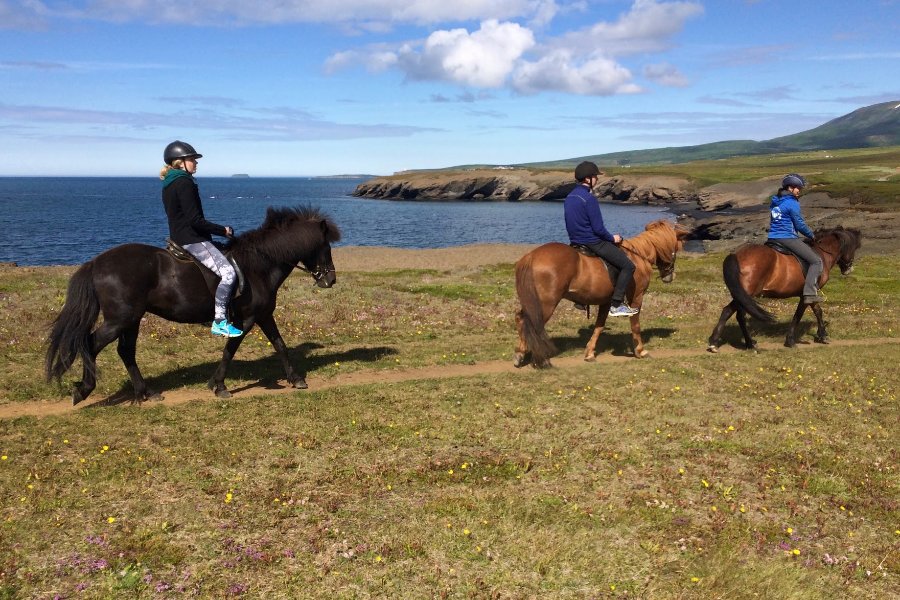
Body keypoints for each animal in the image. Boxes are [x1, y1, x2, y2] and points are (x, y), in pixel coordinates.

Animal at [43, 204, 338, 406]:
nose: (330, 279)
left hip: (132, 319)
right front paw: (218, 385)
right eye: (325, 247)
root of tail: (96, 263)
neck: (259, 265)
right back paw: (84, 389)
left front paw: (296, 378)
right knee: (91, 344)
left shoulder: (264, 315)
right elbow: (230, 349)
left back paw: (145, 393)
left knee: (125, 352)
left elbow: (280, 344)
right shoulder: (246, 318)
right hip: (120, 319)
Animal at [512, 218, 688, 368]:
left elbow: (599, 326)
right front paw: (640, 351)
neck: (638, 256)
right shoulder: (636, 298)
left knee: (521, 319)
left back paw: (520, 354)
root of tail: (531, 256)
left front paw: (589, 353)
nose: (670, 276)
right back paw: (540, 359)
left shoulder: (606, 302)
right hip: (546, 303)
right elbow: (635, 325)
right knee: (532, 324)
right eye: (676, 248)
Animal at [708, 227, 860, 354]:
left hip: (742, 294)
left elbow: (817, 311)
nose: (848, 269)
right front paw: (792, 340)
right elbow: (801, 314)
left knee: (730, 312)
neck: (821, 254)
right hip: (748, 293)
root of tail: (737, 254)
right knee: (737, 314)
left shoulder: (808, 293)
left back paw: (720, 342)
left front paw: (821, 335)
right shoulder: (808, 293)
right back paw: (745, 343)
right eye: (853, 248)